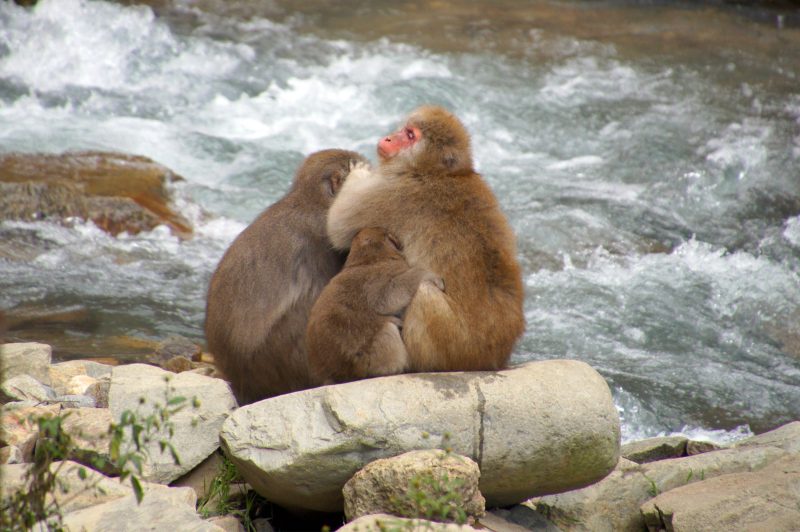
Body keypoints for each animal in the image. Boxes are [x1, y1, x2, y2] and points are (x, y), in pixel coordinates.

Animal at [306, 227, 444, 385]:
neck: (367, 260)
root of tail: (341, 375)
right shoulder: (379, 276)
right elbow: (386, 297)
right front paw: (426, 274)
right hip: (368, 357)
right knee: (387, 329)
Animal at [327, 106, 525, 373]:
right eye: (404, 129)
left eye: (410, 135)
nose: (388, 138)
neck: (436, 172)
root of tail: (494, 358)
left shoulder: (394, 192)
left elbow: (337, 225)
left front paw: (359, 170)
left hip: (456, 348)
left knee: (424, 293)